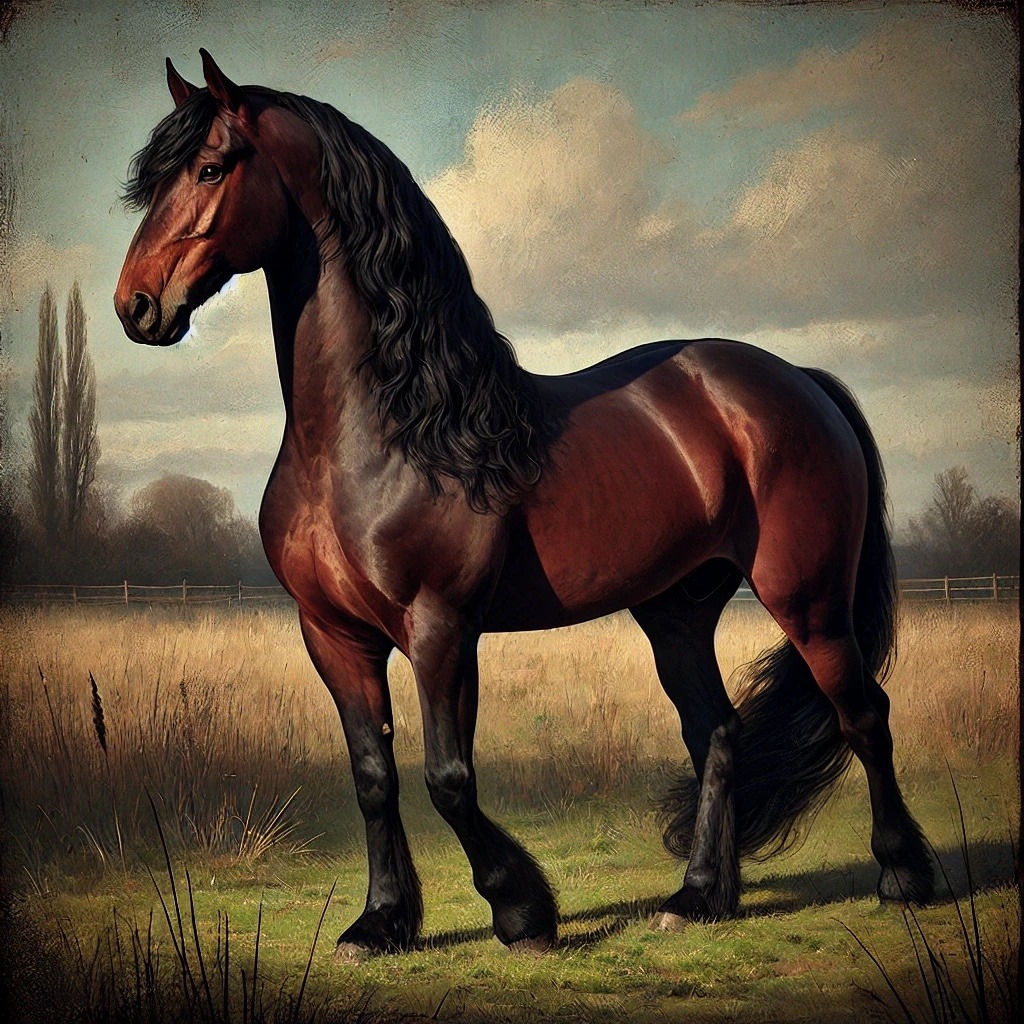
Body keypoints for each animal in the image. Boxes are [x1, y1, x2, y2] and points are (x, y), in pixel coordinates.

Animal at [115, 51, 935, 958]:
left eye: (211, 168)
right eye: (152, 180)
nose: (136, 305)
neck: (386, 432)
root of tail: (799, 380)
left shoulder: (441, 628)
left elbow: (447, 777)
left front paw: (522, 912)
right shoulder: (332, 635)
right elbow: (373, 777)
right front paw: (381, 921)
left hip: (808, 598)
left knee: (863, 714)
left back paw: (903, 878)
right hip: (677, 612)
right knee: (716, 734)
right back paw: (698, 897)